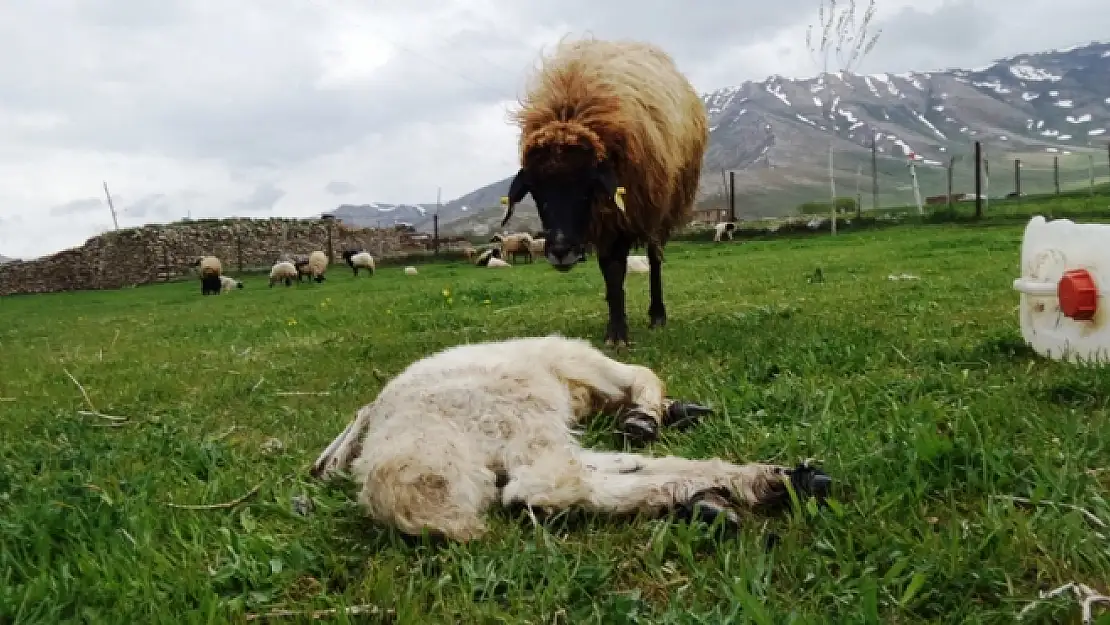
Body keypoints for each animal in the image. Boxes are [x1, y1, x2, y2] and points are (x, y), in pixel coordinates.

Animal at [313, 335, 834, 546]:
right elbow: (643, 379)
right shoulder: (581, 371)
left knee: (553, 484)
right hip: (517, 414)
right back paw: (766, 482)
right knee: (543, 482)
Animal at [499, 36, 705, 350]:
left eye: (588, 186)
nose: (561, 252)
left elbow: (617, 268)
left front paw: (618, 334)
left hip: (660, 206)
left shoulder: (623, 214)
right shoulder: (602, 222)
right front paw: (615, 321)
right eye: (534, 191)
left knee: (654, 258)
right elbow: (608, 271)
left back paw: (657, 315)